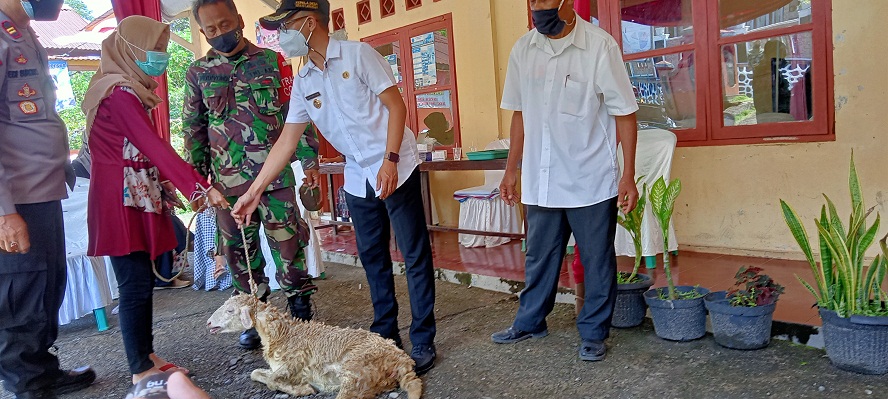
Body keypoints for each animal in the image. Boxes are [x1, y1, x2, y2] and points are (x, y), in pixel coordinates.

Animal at [206, 296, 422, 398]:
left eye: (230, 310)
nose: (208, 323)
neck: (283, 334)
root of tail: (400, 360)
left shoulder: (295, 361)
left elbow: (273, 380)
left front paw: (304, 389)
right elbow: (256, 374)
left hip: (355, 368)